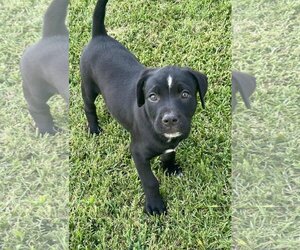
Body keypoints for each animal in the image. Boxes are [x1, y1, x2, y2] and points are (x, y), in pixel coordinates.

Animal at [81, 0, 209, 215]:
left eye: (185, 94)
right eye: (152, 97)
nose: (170, 120)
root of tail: (99, 36)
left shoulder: (171, 144)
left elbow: (169, 154)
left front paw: (170, 169)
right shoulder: (138, 153)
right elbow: (150, 181)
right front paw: (155, 206)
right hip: (88, 86)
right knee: (89, 107)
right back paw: (94, 128)